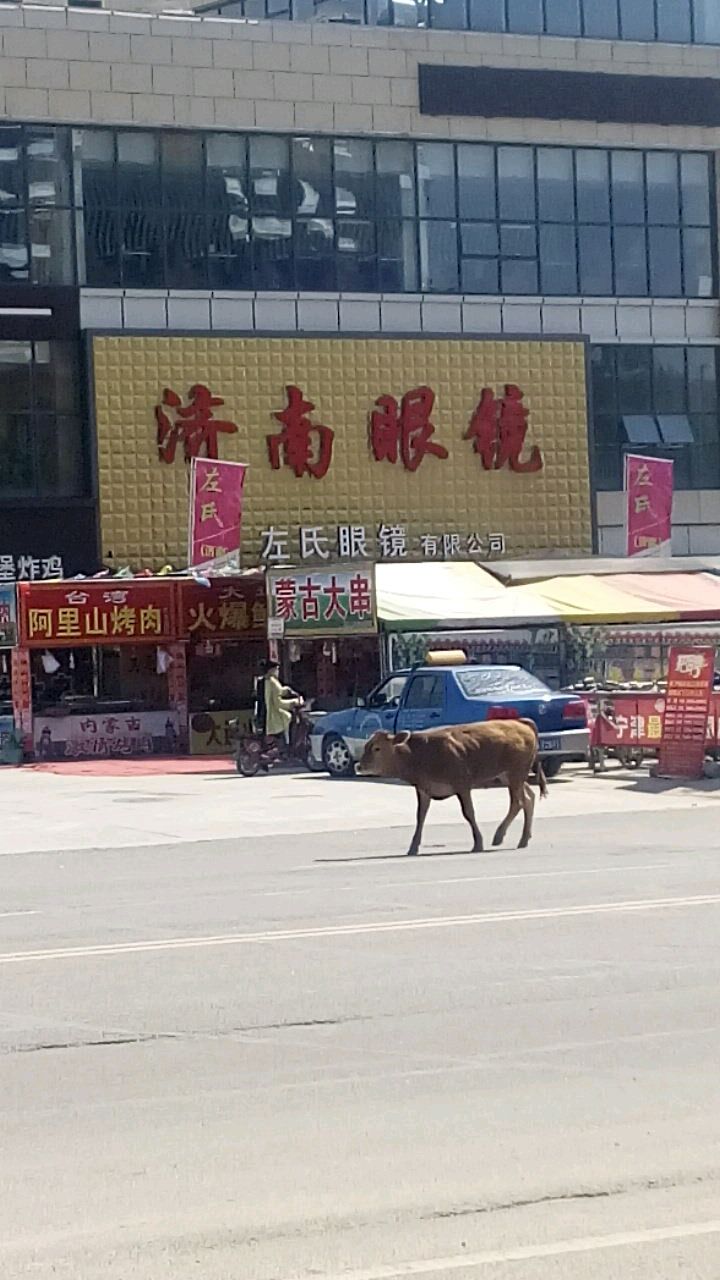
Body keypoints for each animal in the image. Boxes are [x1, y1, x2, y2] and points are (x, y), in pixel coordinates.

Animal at [353, 716, 543, 855]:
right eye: (366, 746)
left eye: (377, 748)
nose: (360, 766)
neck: (419, 755)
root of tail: (522, 723)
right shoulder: (424, 788)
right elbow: (420, 817)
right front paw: (413, 847)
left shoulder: (462, 784)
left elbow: (469, 813)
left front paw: (478, 843)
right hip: (509, 777)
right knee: (528, 798)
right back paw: (523, 838)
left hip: (515, 774)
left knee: (518, 802)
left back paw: (502, 836)